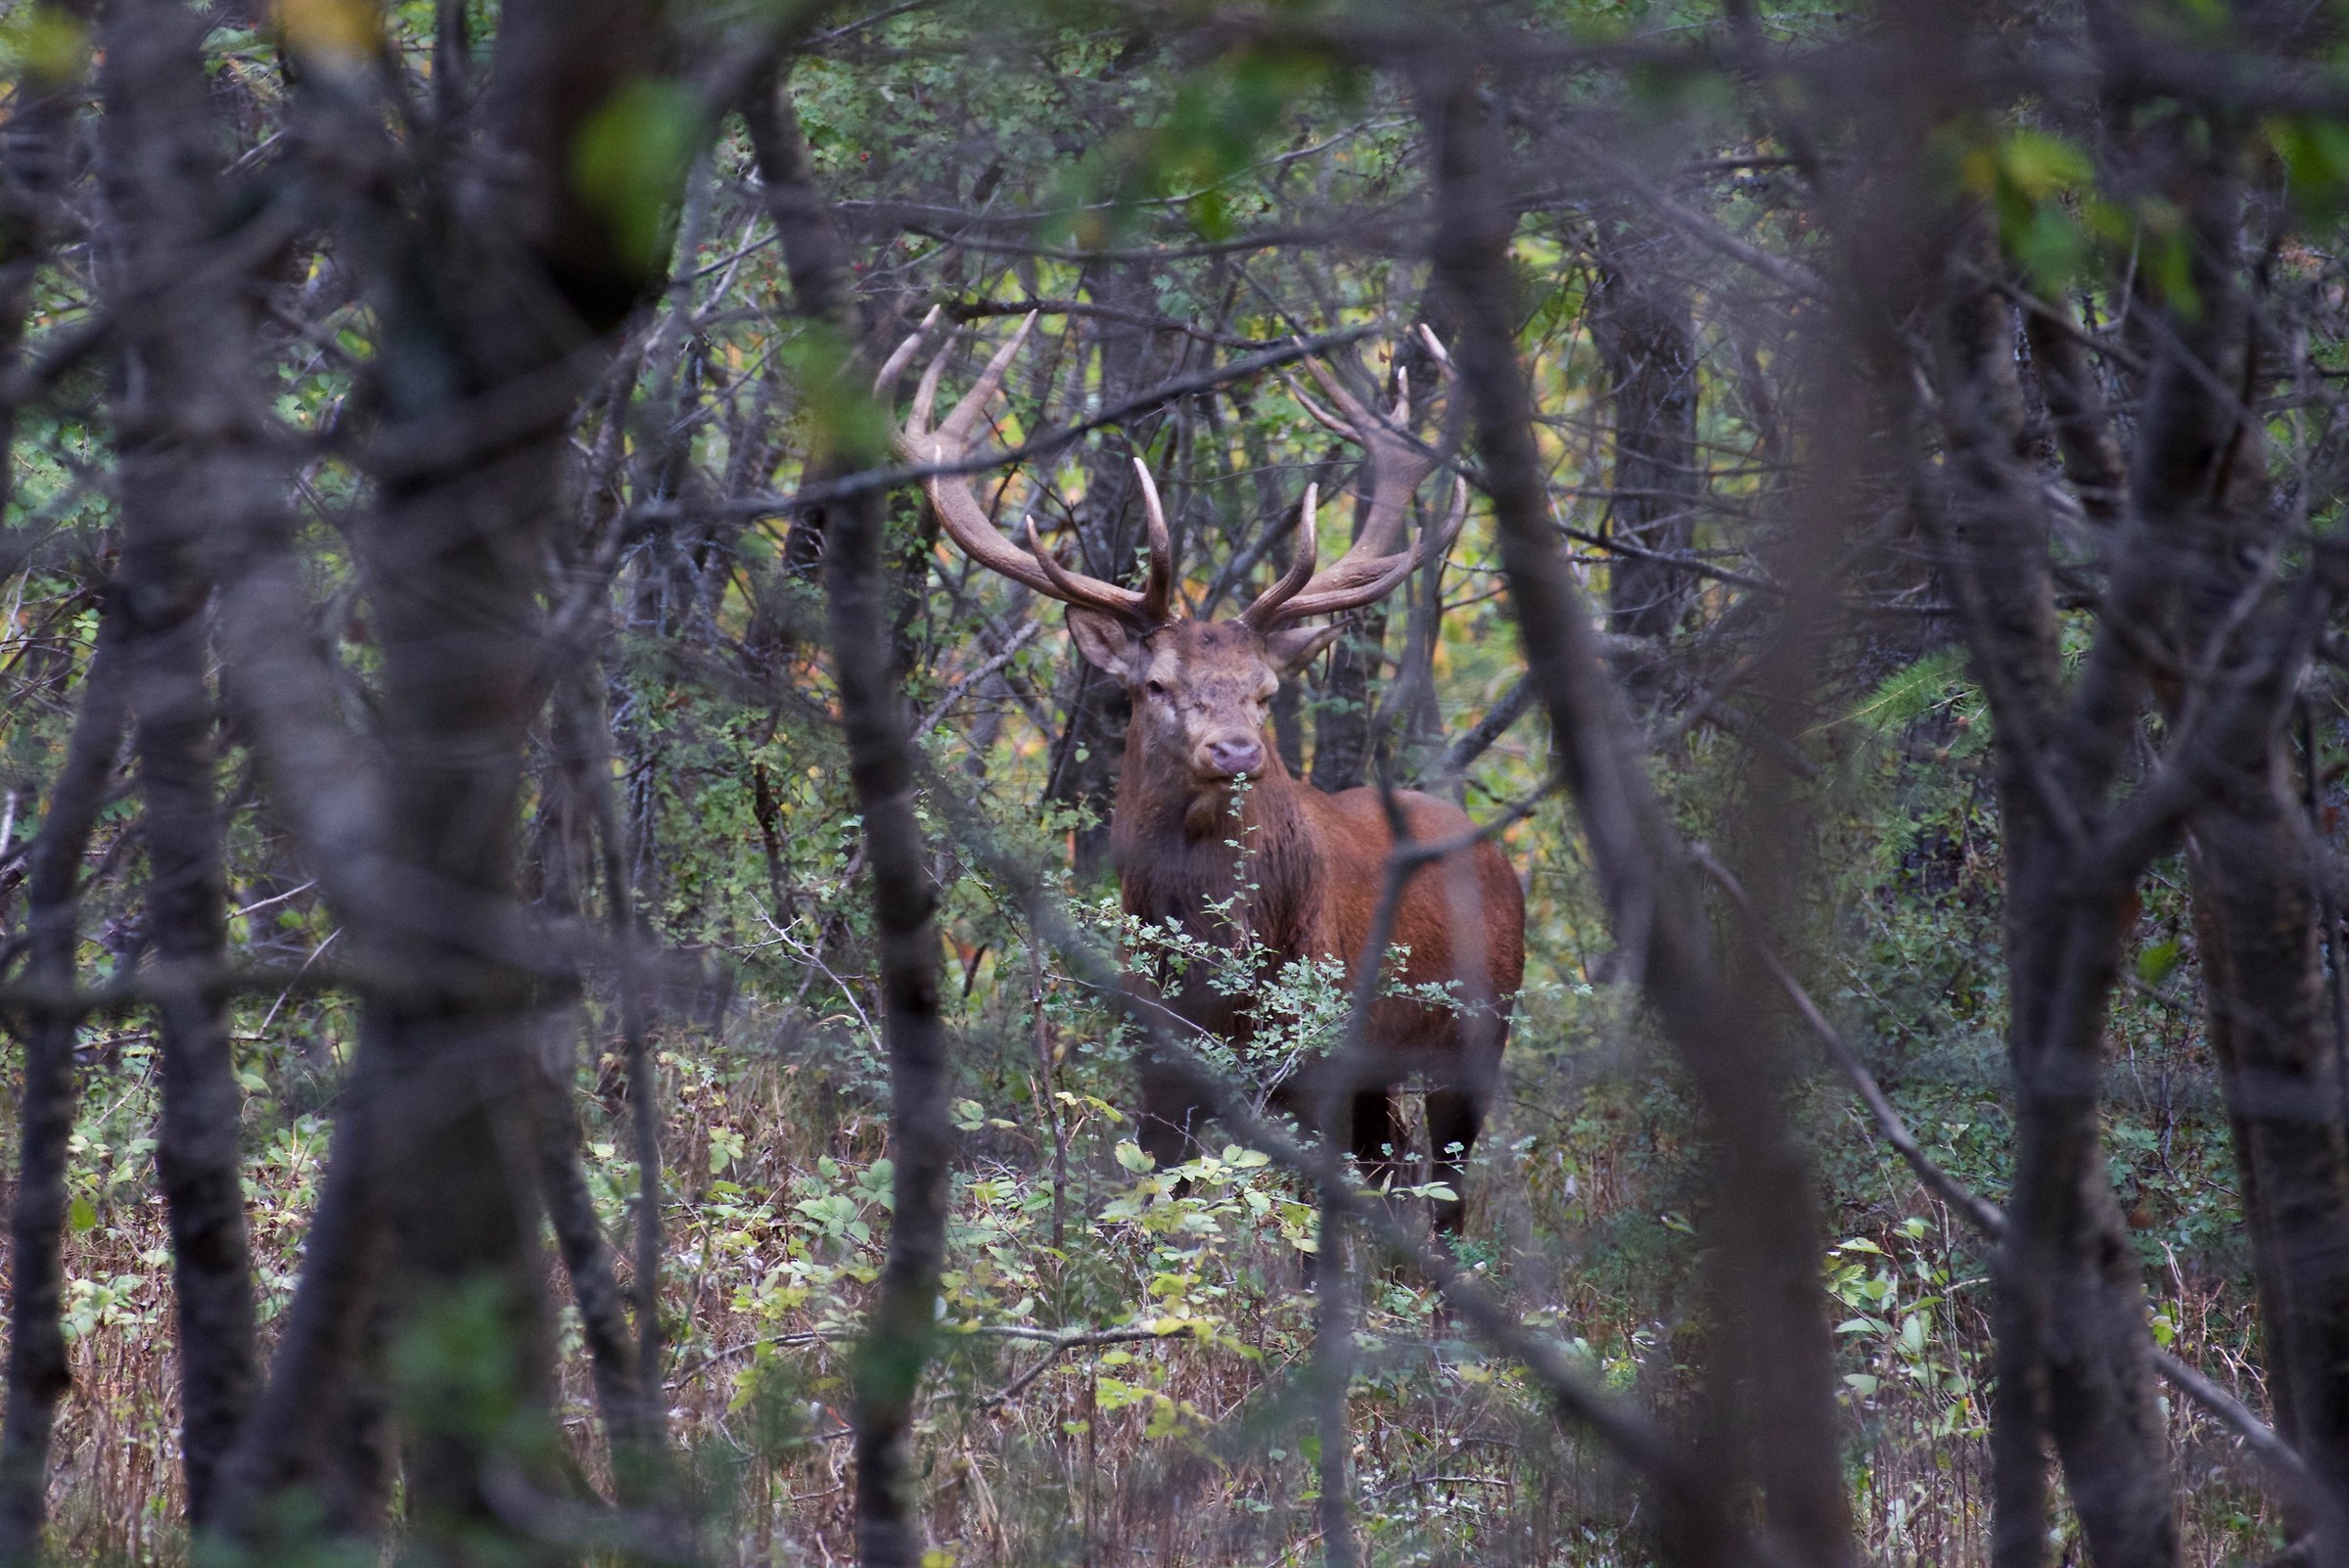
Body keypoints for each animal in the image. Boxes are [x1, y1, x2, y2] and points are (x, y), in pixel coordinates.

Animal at [888, 317, 1525, 1235]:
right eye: (1157, 684)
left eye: (1265, 692)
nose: (1235, 751)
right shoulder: (1158, 1061)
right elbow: (1162, 1201)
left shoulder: (1317, 1055)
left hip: (1478, 1037)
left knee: (1444, 1195)